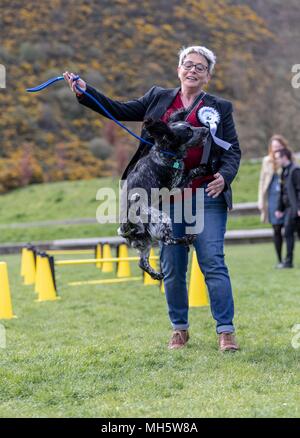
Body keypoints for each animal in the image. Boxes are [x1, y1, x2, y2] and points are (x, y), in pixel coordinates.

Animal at [117, 114, 209, 278]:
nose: (206, 130)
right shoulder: (175, 184)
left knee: (142, 262)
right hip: (161, 218)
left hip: (145, 242)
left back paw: (156, 274)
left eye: (191, 125)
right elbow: (191, 172)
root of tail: (126, 227)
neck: (165, 152)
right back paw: (187, 238)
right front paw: (202, 169)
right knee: (168, 240)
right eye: (189, 131)